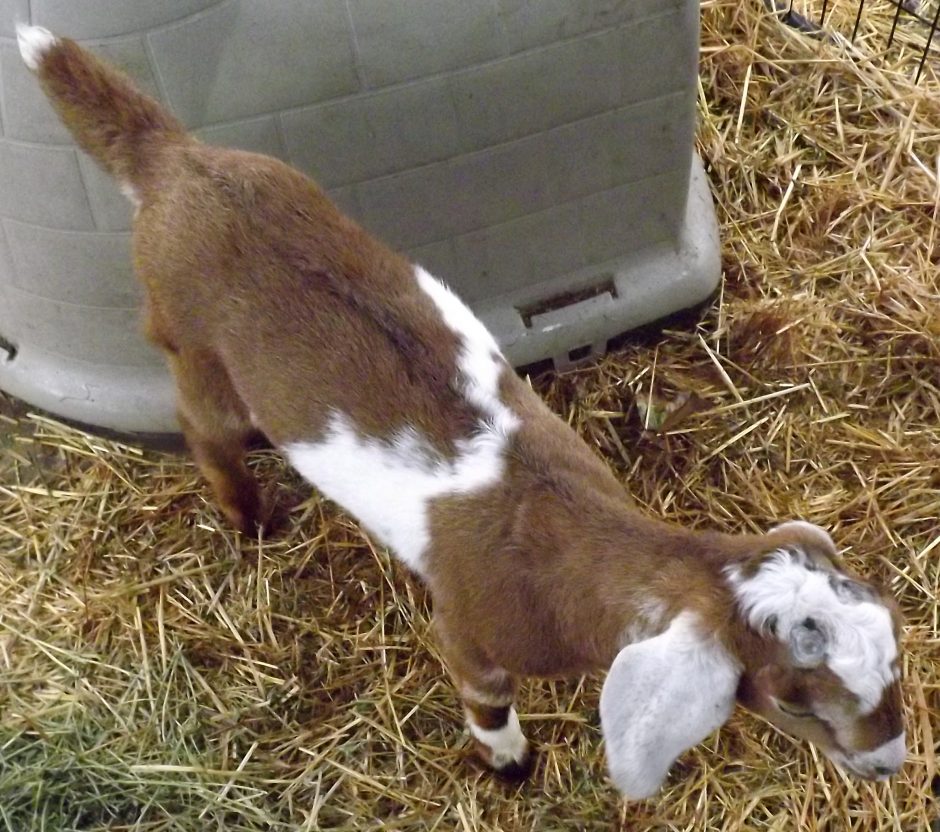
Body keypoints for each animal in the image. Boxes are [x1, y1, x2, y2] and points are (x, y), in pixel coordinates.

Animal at [16, 25, 905, 799]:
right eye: (795, 700)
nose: (891, 761)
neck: (565, 535)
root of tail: (175, 162)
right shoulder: (469, 628)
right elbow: (485, 697)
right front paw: (509, 761)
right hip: (192, 339)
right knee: (204, 426)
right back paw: (247, 516)